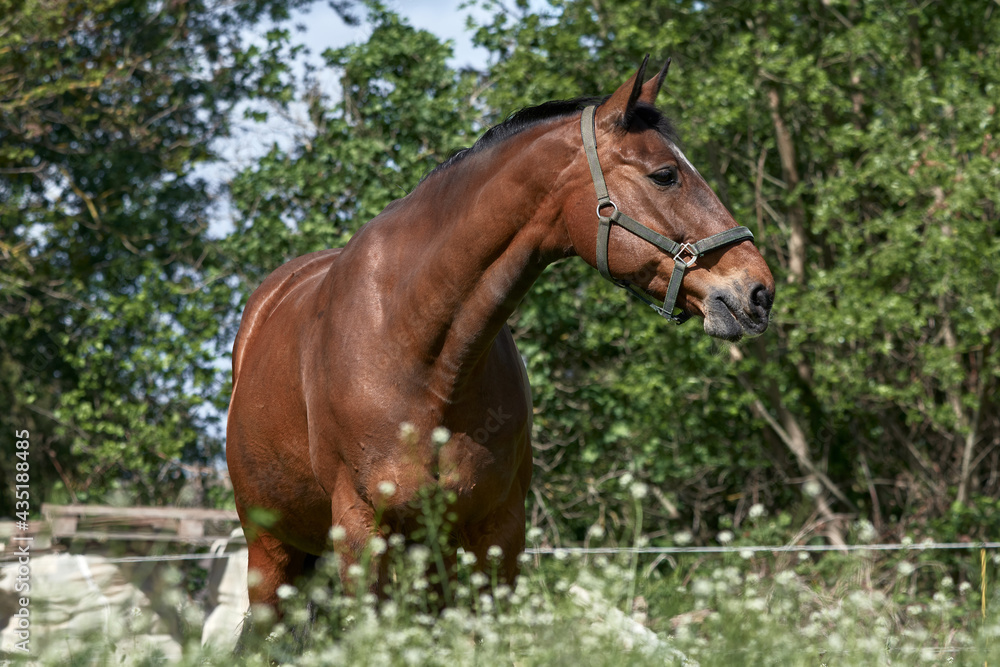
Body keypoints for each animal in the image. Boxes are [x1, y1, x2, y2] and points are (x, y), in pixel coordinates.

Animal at [226, 56, 774, 624]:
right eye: (665, 175)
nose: (758, 291)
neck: (420, 354)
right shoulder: (360, 531)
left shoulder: (499, 532)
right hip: (271, 552)